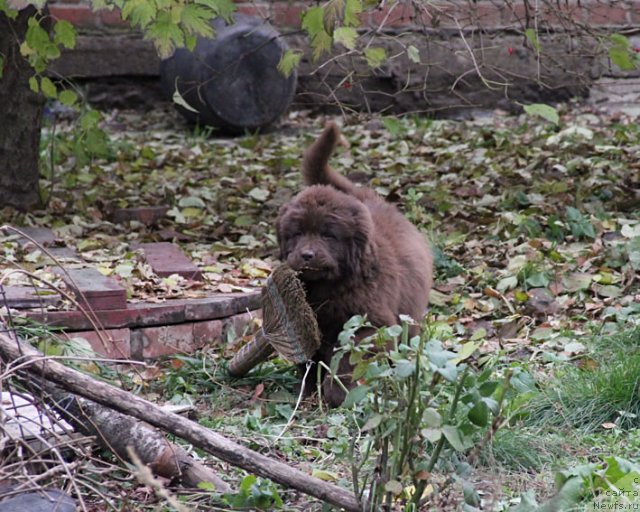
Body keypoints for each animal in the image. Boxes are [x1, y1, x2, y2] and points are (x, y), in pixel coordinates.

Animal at [276, 122, 432, 406]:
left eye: (328, 235)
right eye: (297, 233)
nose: (307, 255)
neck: (331, 286)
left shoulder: (370, 324)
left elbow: (348, 357)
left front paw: (338, 394)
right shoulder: (306, 323)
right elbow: (310, 360)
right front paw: (308, 390)